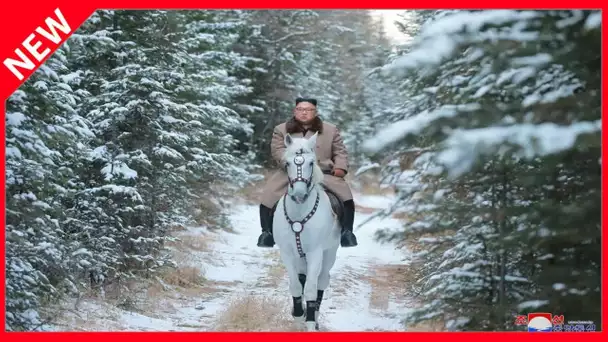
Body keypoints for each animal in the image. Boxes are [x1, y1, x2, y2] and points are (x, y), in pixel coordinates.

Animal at [274, 132, 344, 332]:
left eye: (311, 163)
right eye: (287, 163)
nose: (299, 195)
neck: (299, 212)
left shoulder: (315, 253)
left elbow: (311, 288)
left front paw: (310, 322)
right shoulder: (287, 253)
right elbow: (296, 285)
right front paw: (298, 316)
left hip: (329, 253)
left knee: (322, 280)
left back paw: (315, 315)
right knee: (302, 278)